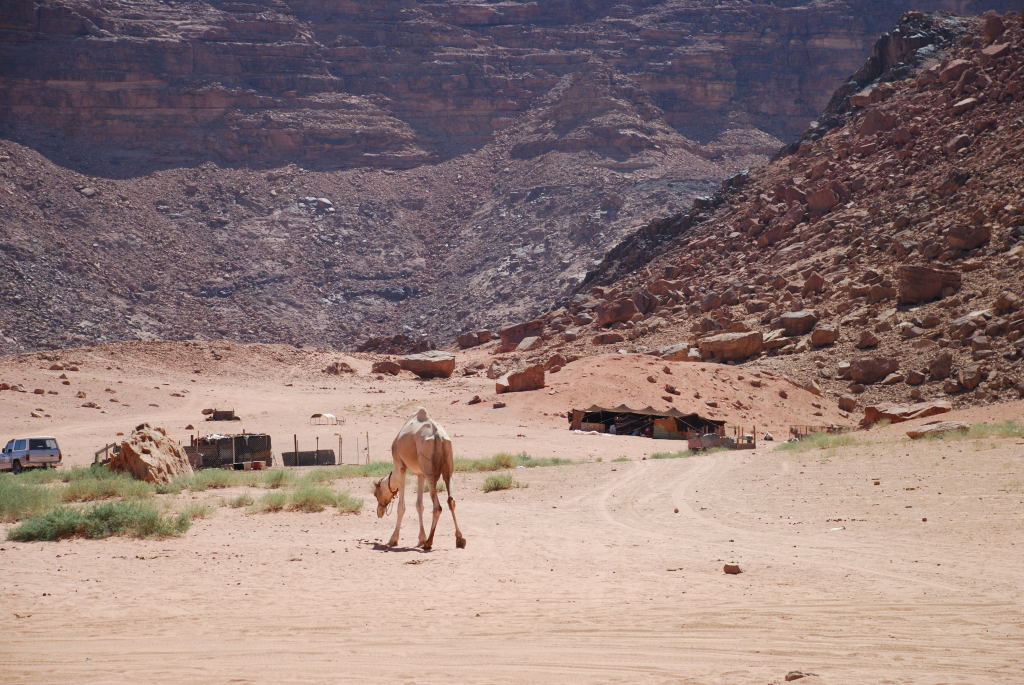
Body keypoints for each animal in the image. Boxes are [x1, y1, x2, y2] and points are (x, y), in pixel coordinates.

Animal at [372, 405, 468, 548]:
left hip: (430, 471)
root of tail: (438, 435)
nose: (379, 512)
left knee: (437, 507)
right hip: (448, 466)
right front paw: (421, 539)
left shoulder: (401, 466)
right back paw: (459, 539)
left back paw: (429, 542)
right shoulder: (420, 473)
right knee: (451, 500)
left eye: (375, 493)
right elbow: (419, 505)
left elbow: (401, 507)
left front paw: (393, 539)